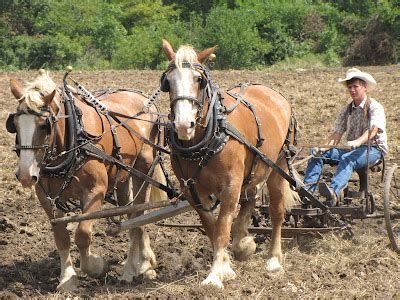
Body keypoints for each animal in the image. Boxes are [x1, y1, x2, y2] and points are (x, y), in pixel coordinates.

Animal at [6, 69, 166, 290]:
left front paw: (96, 266)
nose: (24, 175)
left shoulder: (95, 192)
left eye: (45, 126)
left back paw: (135, 269)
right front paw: (67, 278)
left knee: (139, 216)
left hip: (143, 170)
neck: (75, 138)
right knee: (132, 215)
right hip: (123, 176)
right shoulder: (46, 198)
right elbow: (62, 237)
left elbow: (82, 234)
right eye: (14, 125)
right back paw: (142, 264)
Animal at [161, 39, 298, 288]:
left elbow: (223, 228)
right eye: (168, 82)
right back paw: (244, 242)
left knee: (276, 212)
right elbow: (211, 227)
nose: (184, 125)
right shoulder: (192, 190)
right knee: (250, 199)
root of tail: (273, 93)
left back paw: (274, 259)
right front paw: (227, 264)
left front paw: (215, 275)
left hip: (279, 167)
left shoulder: (230, 187)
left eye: (199, 80)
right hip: (254, 171)